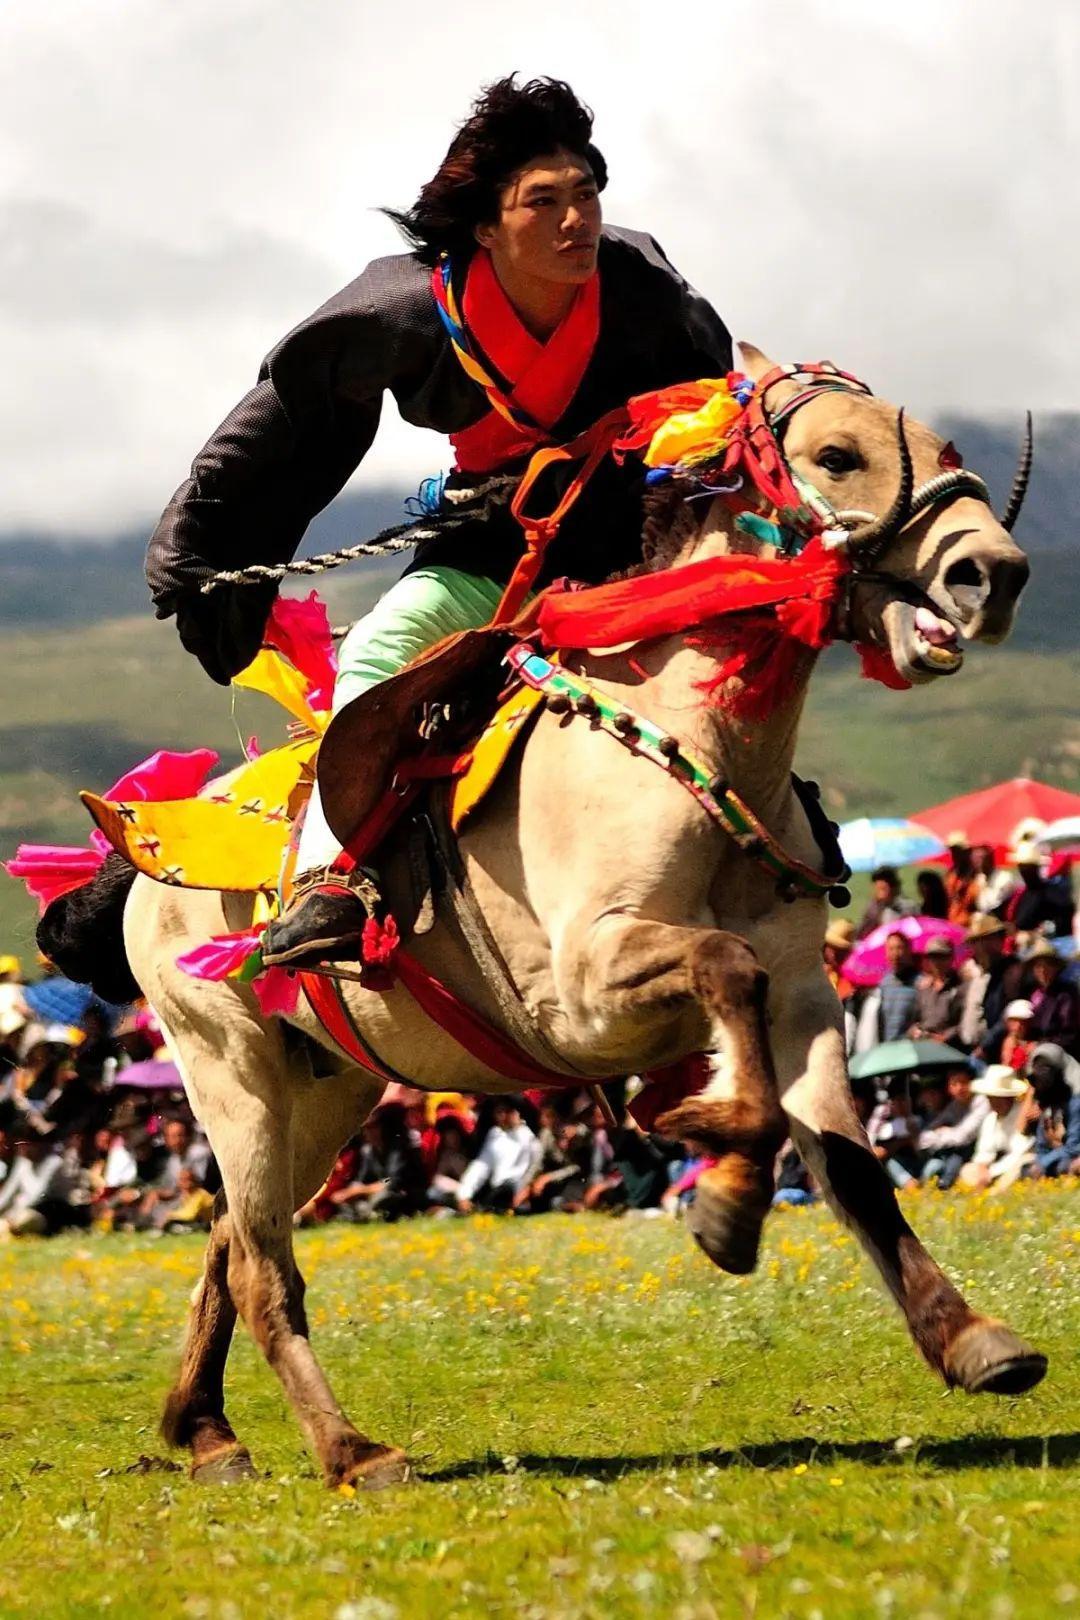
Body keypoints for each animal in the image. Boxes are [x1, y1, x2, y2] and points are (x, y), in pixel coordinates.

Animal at [76, 348, 1036, 1483]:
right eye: (838, 454)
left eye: (944, 446)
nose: (996, 573)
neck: (691, 744)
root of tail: (145, 856)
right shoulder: (586, 988)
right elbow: (728, 974)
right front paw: (721, 1188)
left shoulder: (805, 1001)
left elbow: (853, 1167)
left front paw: (969, 1338)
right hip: (231, 1071)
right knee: (266, 1268)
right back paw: (349, 1448)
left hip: (329, 1092)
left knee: (233, 1236)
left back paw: (207, 1429)